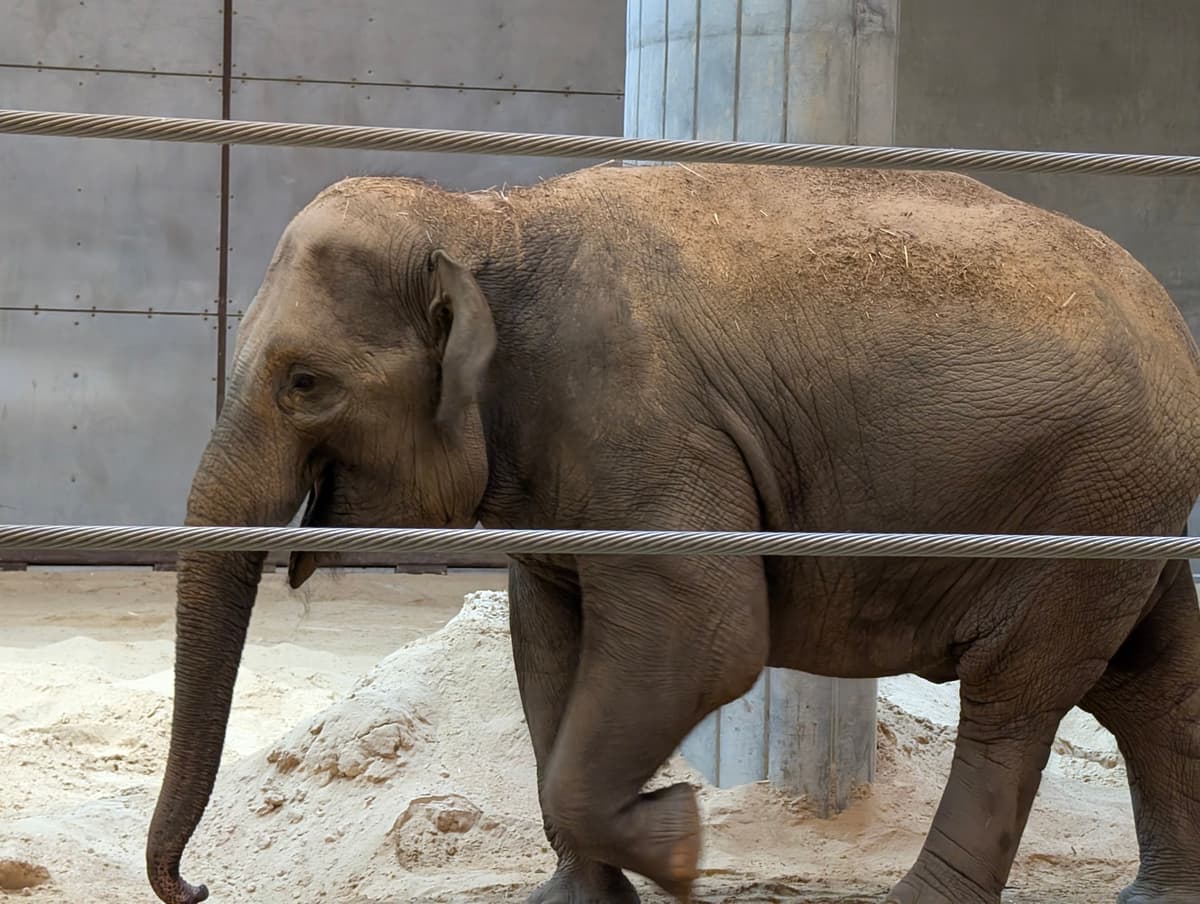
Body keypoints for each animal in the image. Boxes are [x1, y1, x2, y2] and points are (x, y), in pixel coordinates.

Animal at [145, 161, 1200, 904]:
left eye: (304, 382)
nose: (198, 886)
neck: (486, 218)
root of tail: (1173, 325)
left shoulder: (642, 422)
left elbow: (706, 636)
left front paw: (684, 848)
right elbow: (548, 644)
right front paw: (577, 899)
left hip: (1084, 511)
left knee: (1015, 698)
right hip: (1125, 516)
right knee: (1147, 683)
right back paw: (1157, 896)